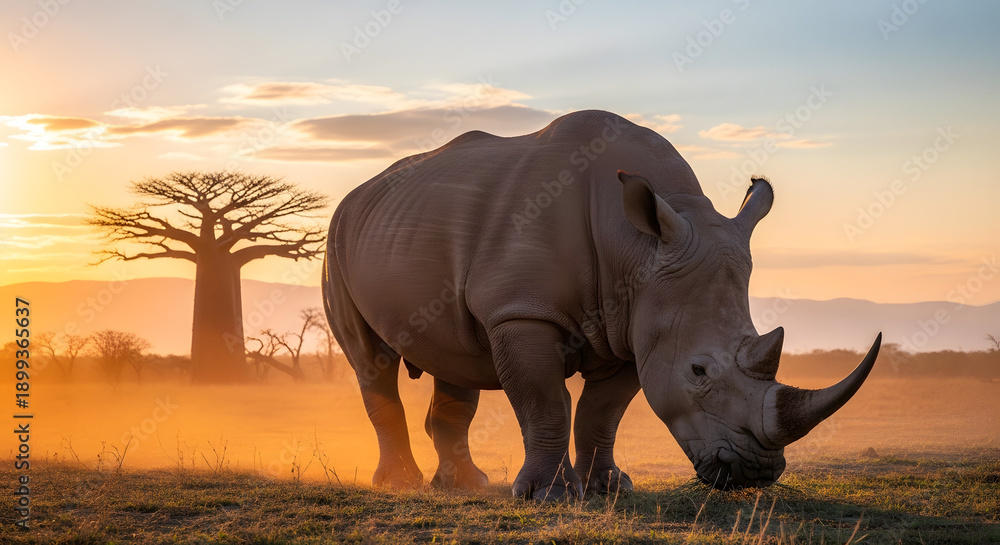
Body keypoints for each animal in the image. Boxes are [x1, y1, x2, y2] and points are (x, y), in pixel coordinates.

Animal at [322, 109, 880, 499]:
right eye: (698, 371)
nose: (755, 473)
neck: (636, 246)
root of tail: (359, 194)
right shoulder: (523, 310)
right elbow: (546, 402)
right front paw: (548, 497)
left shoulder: (637, 324)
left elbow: (601, 413)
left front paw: (610, 489)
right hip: (337, 237)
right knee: (371, 362)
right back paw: (400, 484)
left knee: (453, 360)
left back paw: (466, 486)